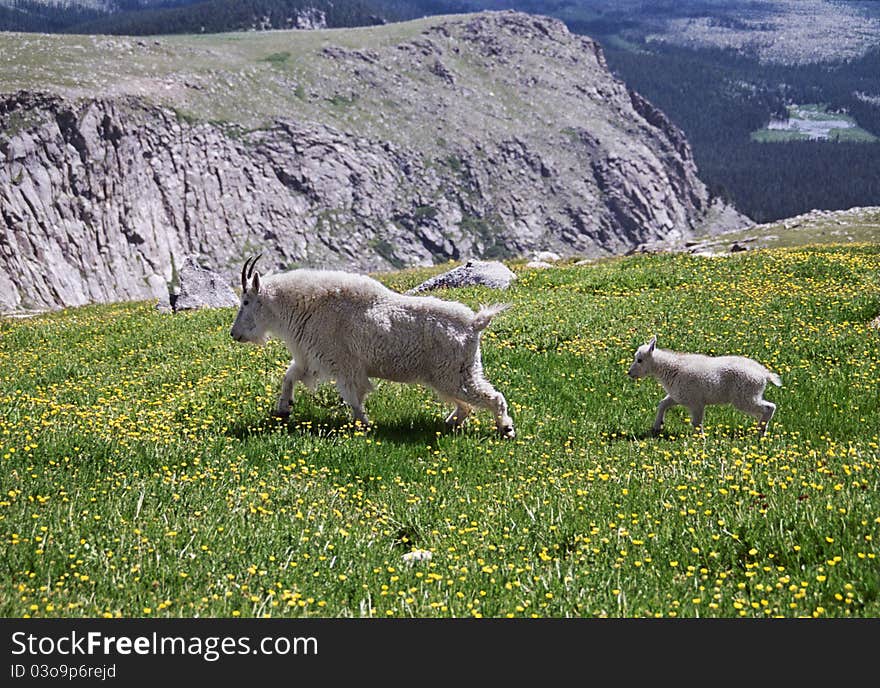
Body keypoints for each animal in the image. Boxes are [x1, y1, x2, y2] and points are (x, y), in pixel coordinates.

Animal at [230, 255, 516, 438]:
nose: (235, 334)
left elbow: (353, 396)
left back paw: (506, 429)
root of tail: (474, 324)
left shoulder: (343, 364)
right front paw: (283, 409)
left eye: (246, 301)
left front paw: (363, 424)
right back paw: (450, 424)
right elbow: (289, 376)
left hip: (454, 374)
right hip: (450, 375)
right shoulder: (312, 359)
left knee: (492, 397)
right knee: (466, 405)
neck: (305, 306)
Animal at [624, 334, 784, 436]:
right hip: (750, 395)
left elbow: (696, 422)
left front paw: (699, 440)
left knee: (769, 407)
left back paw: (760, 432)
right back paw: (760, 428)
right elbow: (662, 404)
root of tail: (763, 373)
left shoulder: (696, 402)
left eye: (639, 360)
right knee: (762, 410)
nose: (630, 373)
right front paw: (658, 426)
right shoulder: (679, 396)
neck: (671, 369)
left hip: (745, 395)